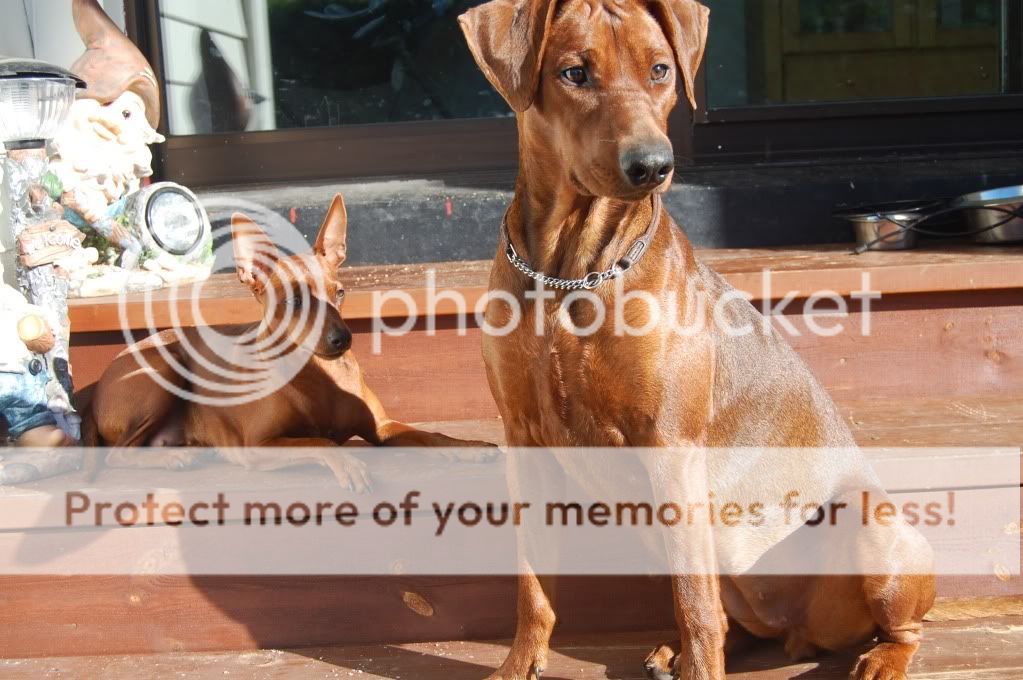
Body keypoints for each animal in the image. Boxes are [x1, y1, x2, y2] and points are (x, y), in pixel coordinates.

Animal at [83, 193, 491, 490]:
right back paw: (172, 458)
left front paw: (469, 447)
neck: (320, 374)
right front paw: (349, 464)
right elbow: (321, 442)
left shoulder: (382, 428)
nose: (342, 339)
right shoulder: (256, 446)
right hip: (163, 368)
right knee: (115, 453)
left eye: (340, 293)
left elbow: (431, 434)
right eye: (294, 302)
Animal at [462, 1, 937, 678]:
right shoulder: (524, 439)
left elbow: (693, 601)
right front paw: (519, 663)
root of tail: (802, 633)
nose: (652, 166)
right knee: (731, 619)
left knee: (899, 627)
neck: (569, 271)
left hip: (867, 521)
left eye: (661, 69)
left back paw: (878, 659)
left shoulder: (672, 444)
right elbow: (532, 585)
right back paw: (678, 651)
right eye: (574, 73)